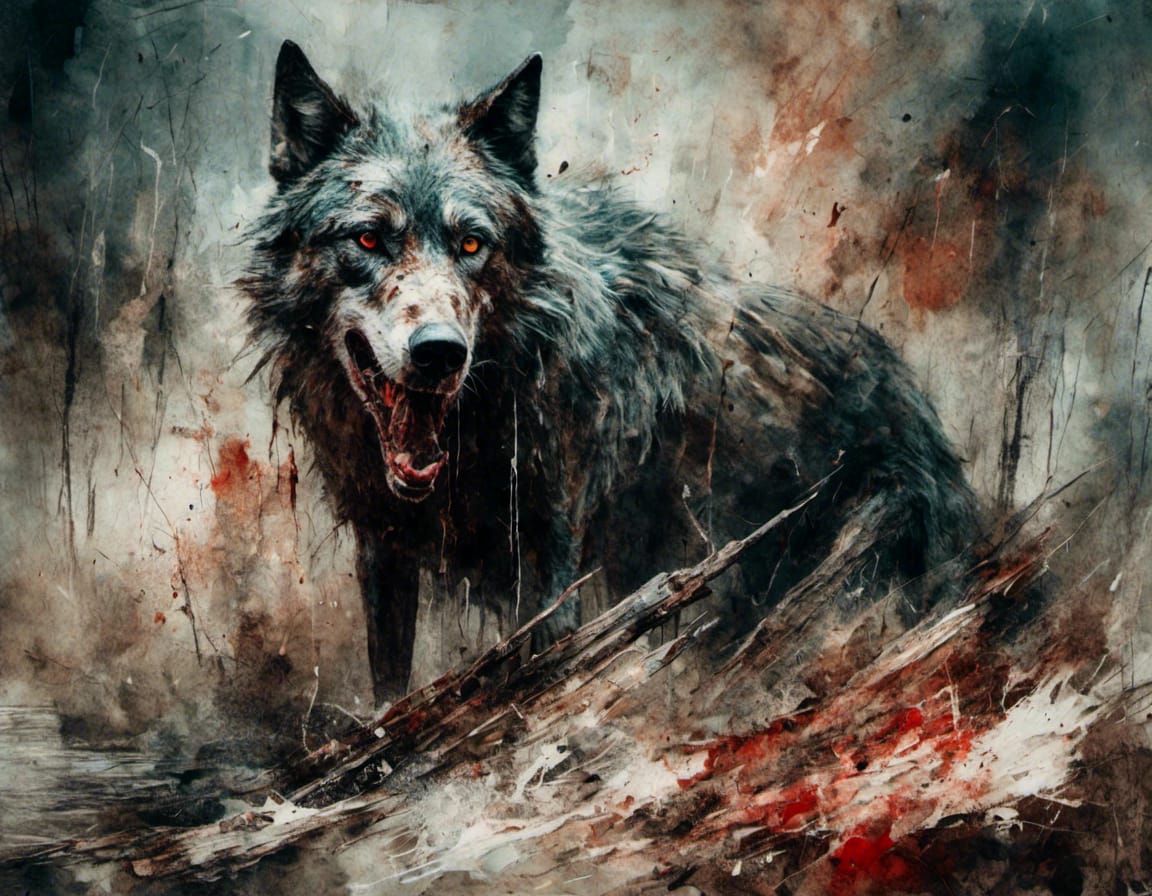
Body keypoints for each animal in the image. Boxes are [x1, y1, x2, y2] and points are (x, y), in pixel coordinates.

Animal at [240, 42, 977, 704]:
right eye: (367, 238)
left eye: (472, 243)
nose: (440, 351)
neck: (494, 405)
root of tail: (925, 411)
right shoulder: (384, 552)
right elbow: (388, 690)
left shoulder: (553, 564)